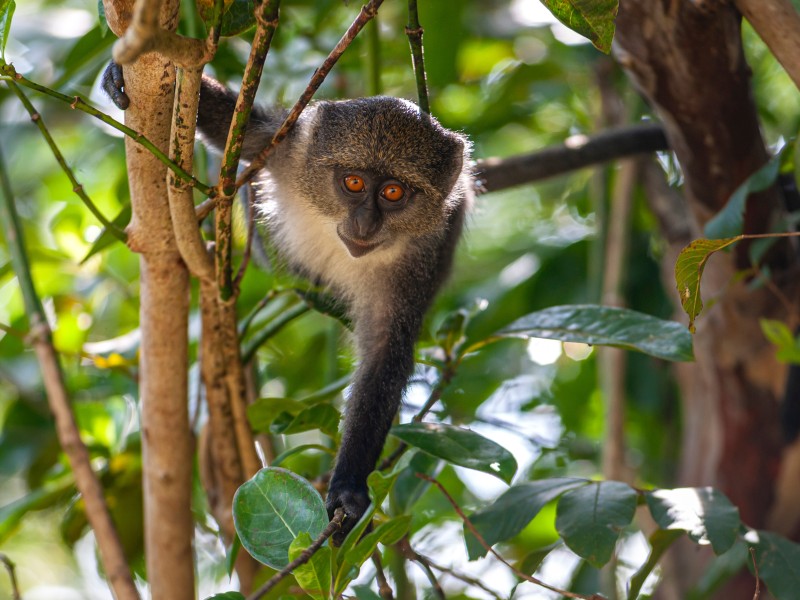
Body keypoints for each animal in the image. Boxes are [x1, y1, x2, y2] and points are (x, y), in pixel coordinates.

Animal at [103, 63, 472, 544]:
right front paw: (120, 74)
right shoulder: (291, 148)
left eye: (393, 193)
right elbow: (240, 133)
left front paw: (348, 490)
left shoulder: (419, 261)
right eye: (353, 182)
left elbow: (385, 354)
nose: (365, 223)